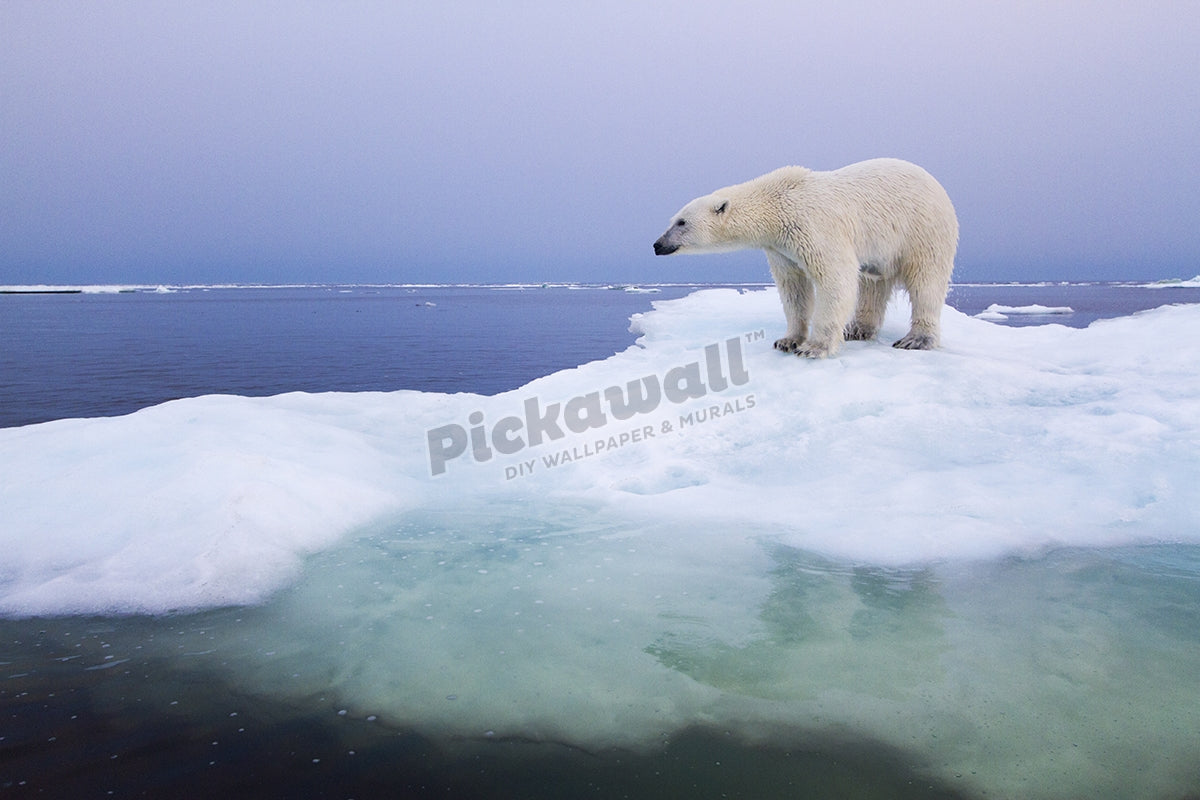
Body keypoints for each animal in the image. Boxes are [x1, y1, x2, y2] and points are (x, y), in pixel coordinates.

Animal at [653, 158, 958, 358]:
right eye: (673, 220)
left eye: (681, 222)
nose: (657, 245)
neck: (777, 203)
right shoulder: (781, 248)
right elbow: (793, 288)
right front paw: (787, 341)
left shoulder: (814, 225)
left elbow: (835, 279)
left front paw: (814, 347)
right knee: (873, 284)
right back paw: (857, 329)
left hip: (923, 230)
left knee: (926, 282)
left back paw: (915, 339)